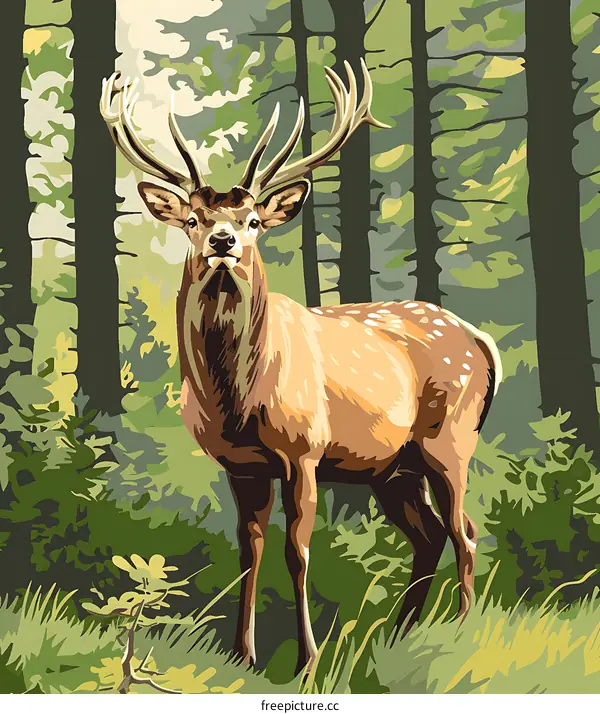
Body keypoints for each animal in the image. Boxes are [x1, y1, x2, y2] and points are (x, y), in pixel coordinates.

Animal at [100, 60, 502, 675]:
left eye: (252, 220)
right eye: (193, 218)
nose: (223, 240)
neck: (236, 399)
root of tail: (482, 341)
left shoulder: (304, 449)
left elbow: (298, 551)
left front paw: (307, 660)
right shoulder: (241, 464)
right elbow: (249, 550)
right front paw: (243, 654)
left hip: (450, 437)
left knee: (466, 531)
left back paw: (458, 630)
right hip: (393, 467)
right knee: (429, 535)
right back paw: (400, 633)